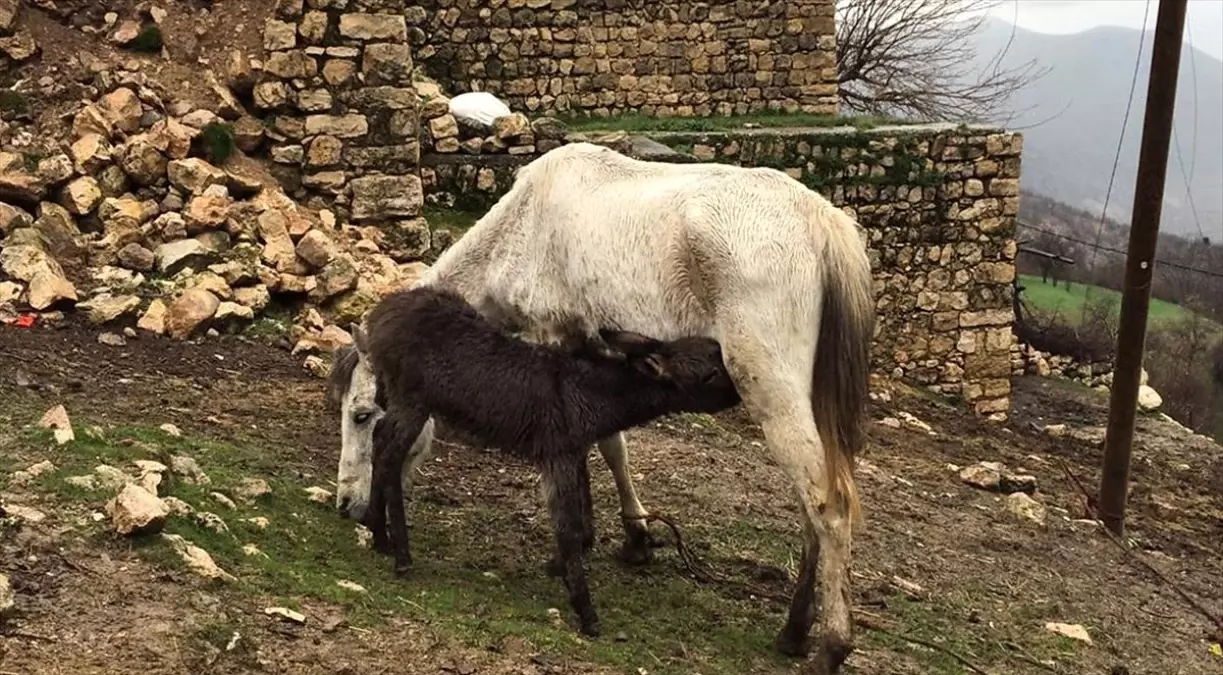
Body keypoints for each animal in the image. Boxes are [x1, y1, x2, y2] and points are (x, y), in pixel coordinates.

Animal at [330, 141, 875, 670]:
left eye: (363, 415)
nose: (347, 506)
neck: (524, 222)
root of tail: (822, 224)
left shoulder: (554, 336)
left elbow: (595, 447)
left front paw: (581, 547)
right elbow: (610, 445)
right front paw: (632, 538)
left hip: (772, 392)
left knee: (828, 506)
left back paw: (831, 645)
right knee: (809, 503)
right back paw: (794, 631)